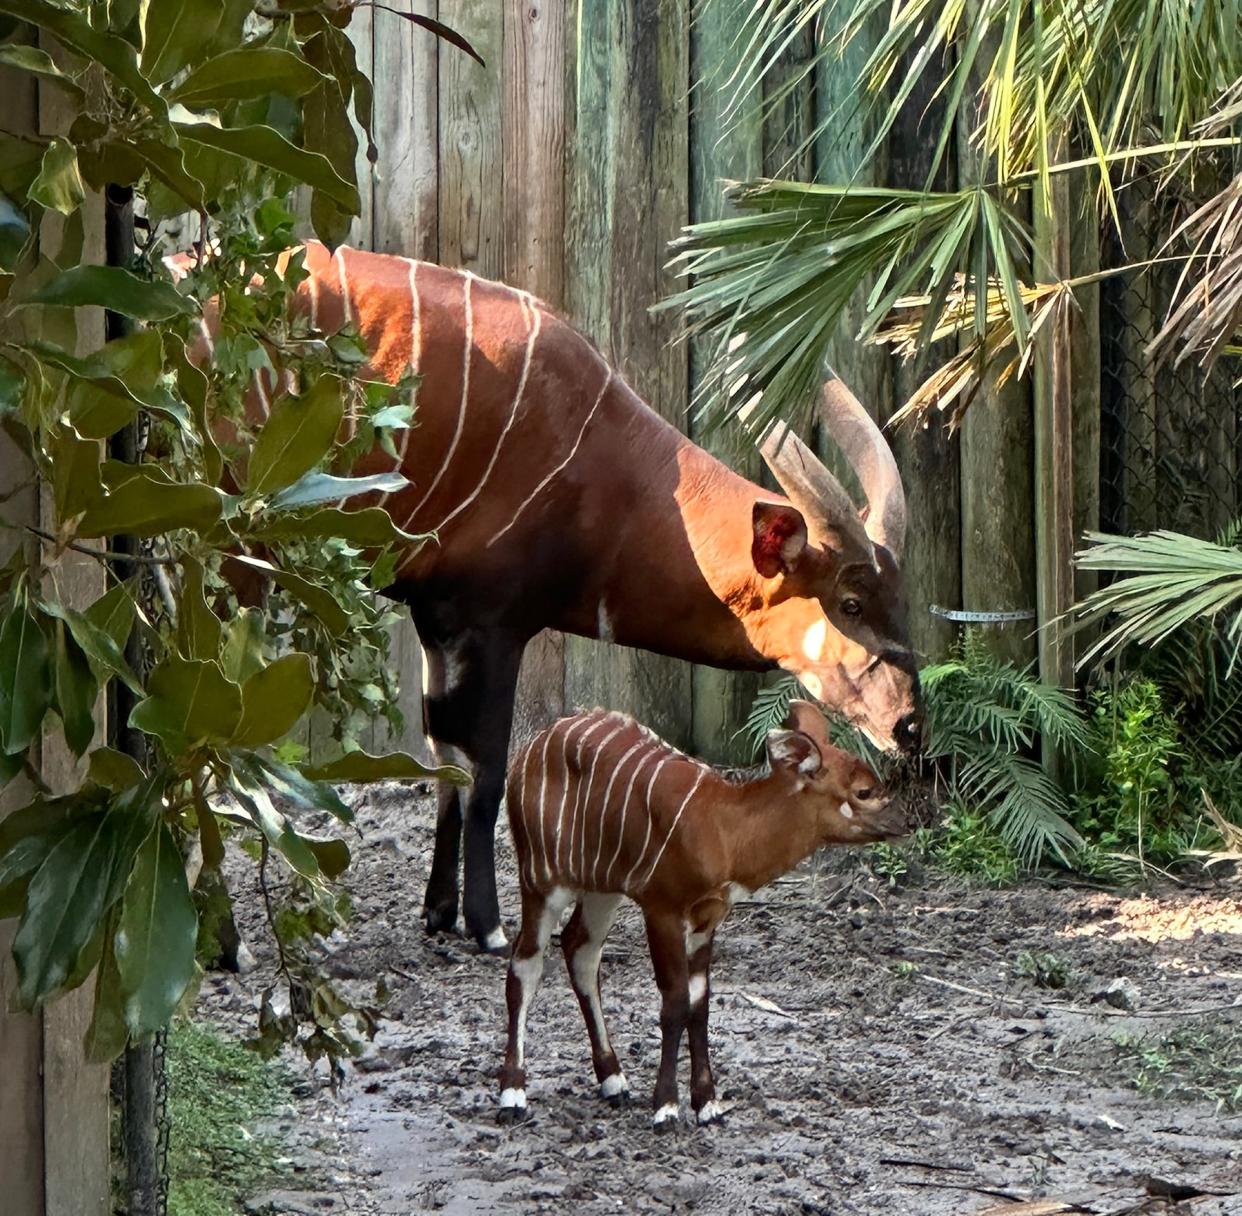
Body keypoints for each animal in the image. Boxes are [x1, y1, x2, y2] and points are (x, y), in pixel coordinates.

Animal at [198, 242, 924, 953]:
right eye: (851, 604)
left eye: (900, 601)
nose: (909, 724)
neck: (622, 478)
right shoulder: (489, 622)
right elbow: (485, 768)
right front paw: (488, 927)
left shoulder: (437, 621)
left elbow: (445, 762)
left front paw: (439, 915)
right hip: (232, 571)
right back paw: (227, 943)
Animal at [494, 700, 904, 1127]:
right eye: (863, 791)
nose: (904, 821)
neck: (725, 830)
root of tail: (533, 746)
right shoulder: (663, 908)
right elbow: (674, 1003)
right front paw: (666, 1108)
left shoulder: (707, 918)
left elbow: (699, 1004)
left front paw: (708, 1105)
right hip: (541, 877)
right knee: (525, 963)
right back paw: (513, 1094)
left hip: (602, 889)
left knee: (581, 950)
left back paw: (614, 1081)